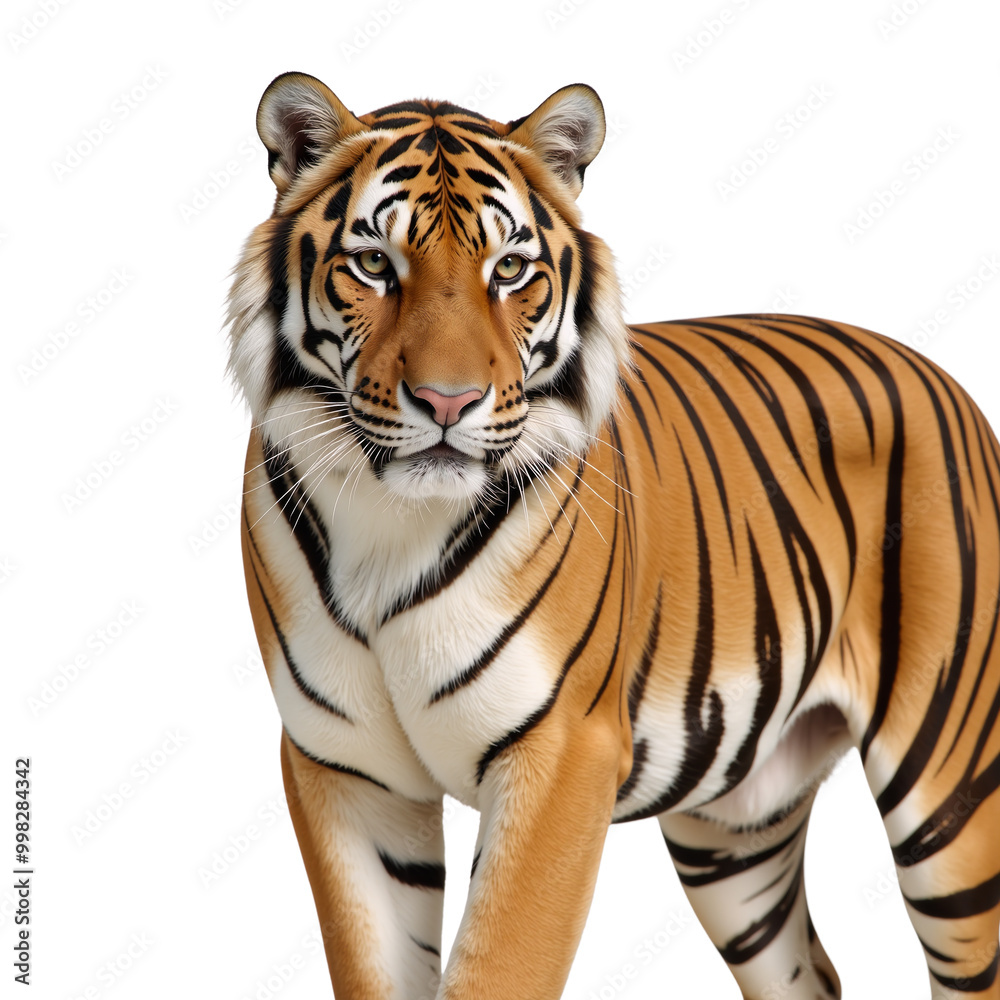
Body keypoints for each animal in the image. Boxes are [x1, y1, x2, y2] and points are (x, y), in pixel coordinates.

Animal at [229, 71, 1000, 1000]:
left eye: (509, 269)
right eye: (375, 263)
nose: (449, 403)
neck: (393, 524)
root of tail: (942, 375)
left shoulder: (563, 754)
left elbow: (501, 965)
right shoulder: (343, 771)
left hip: (950, 783)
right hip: (733, 828)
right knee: (807, 970)